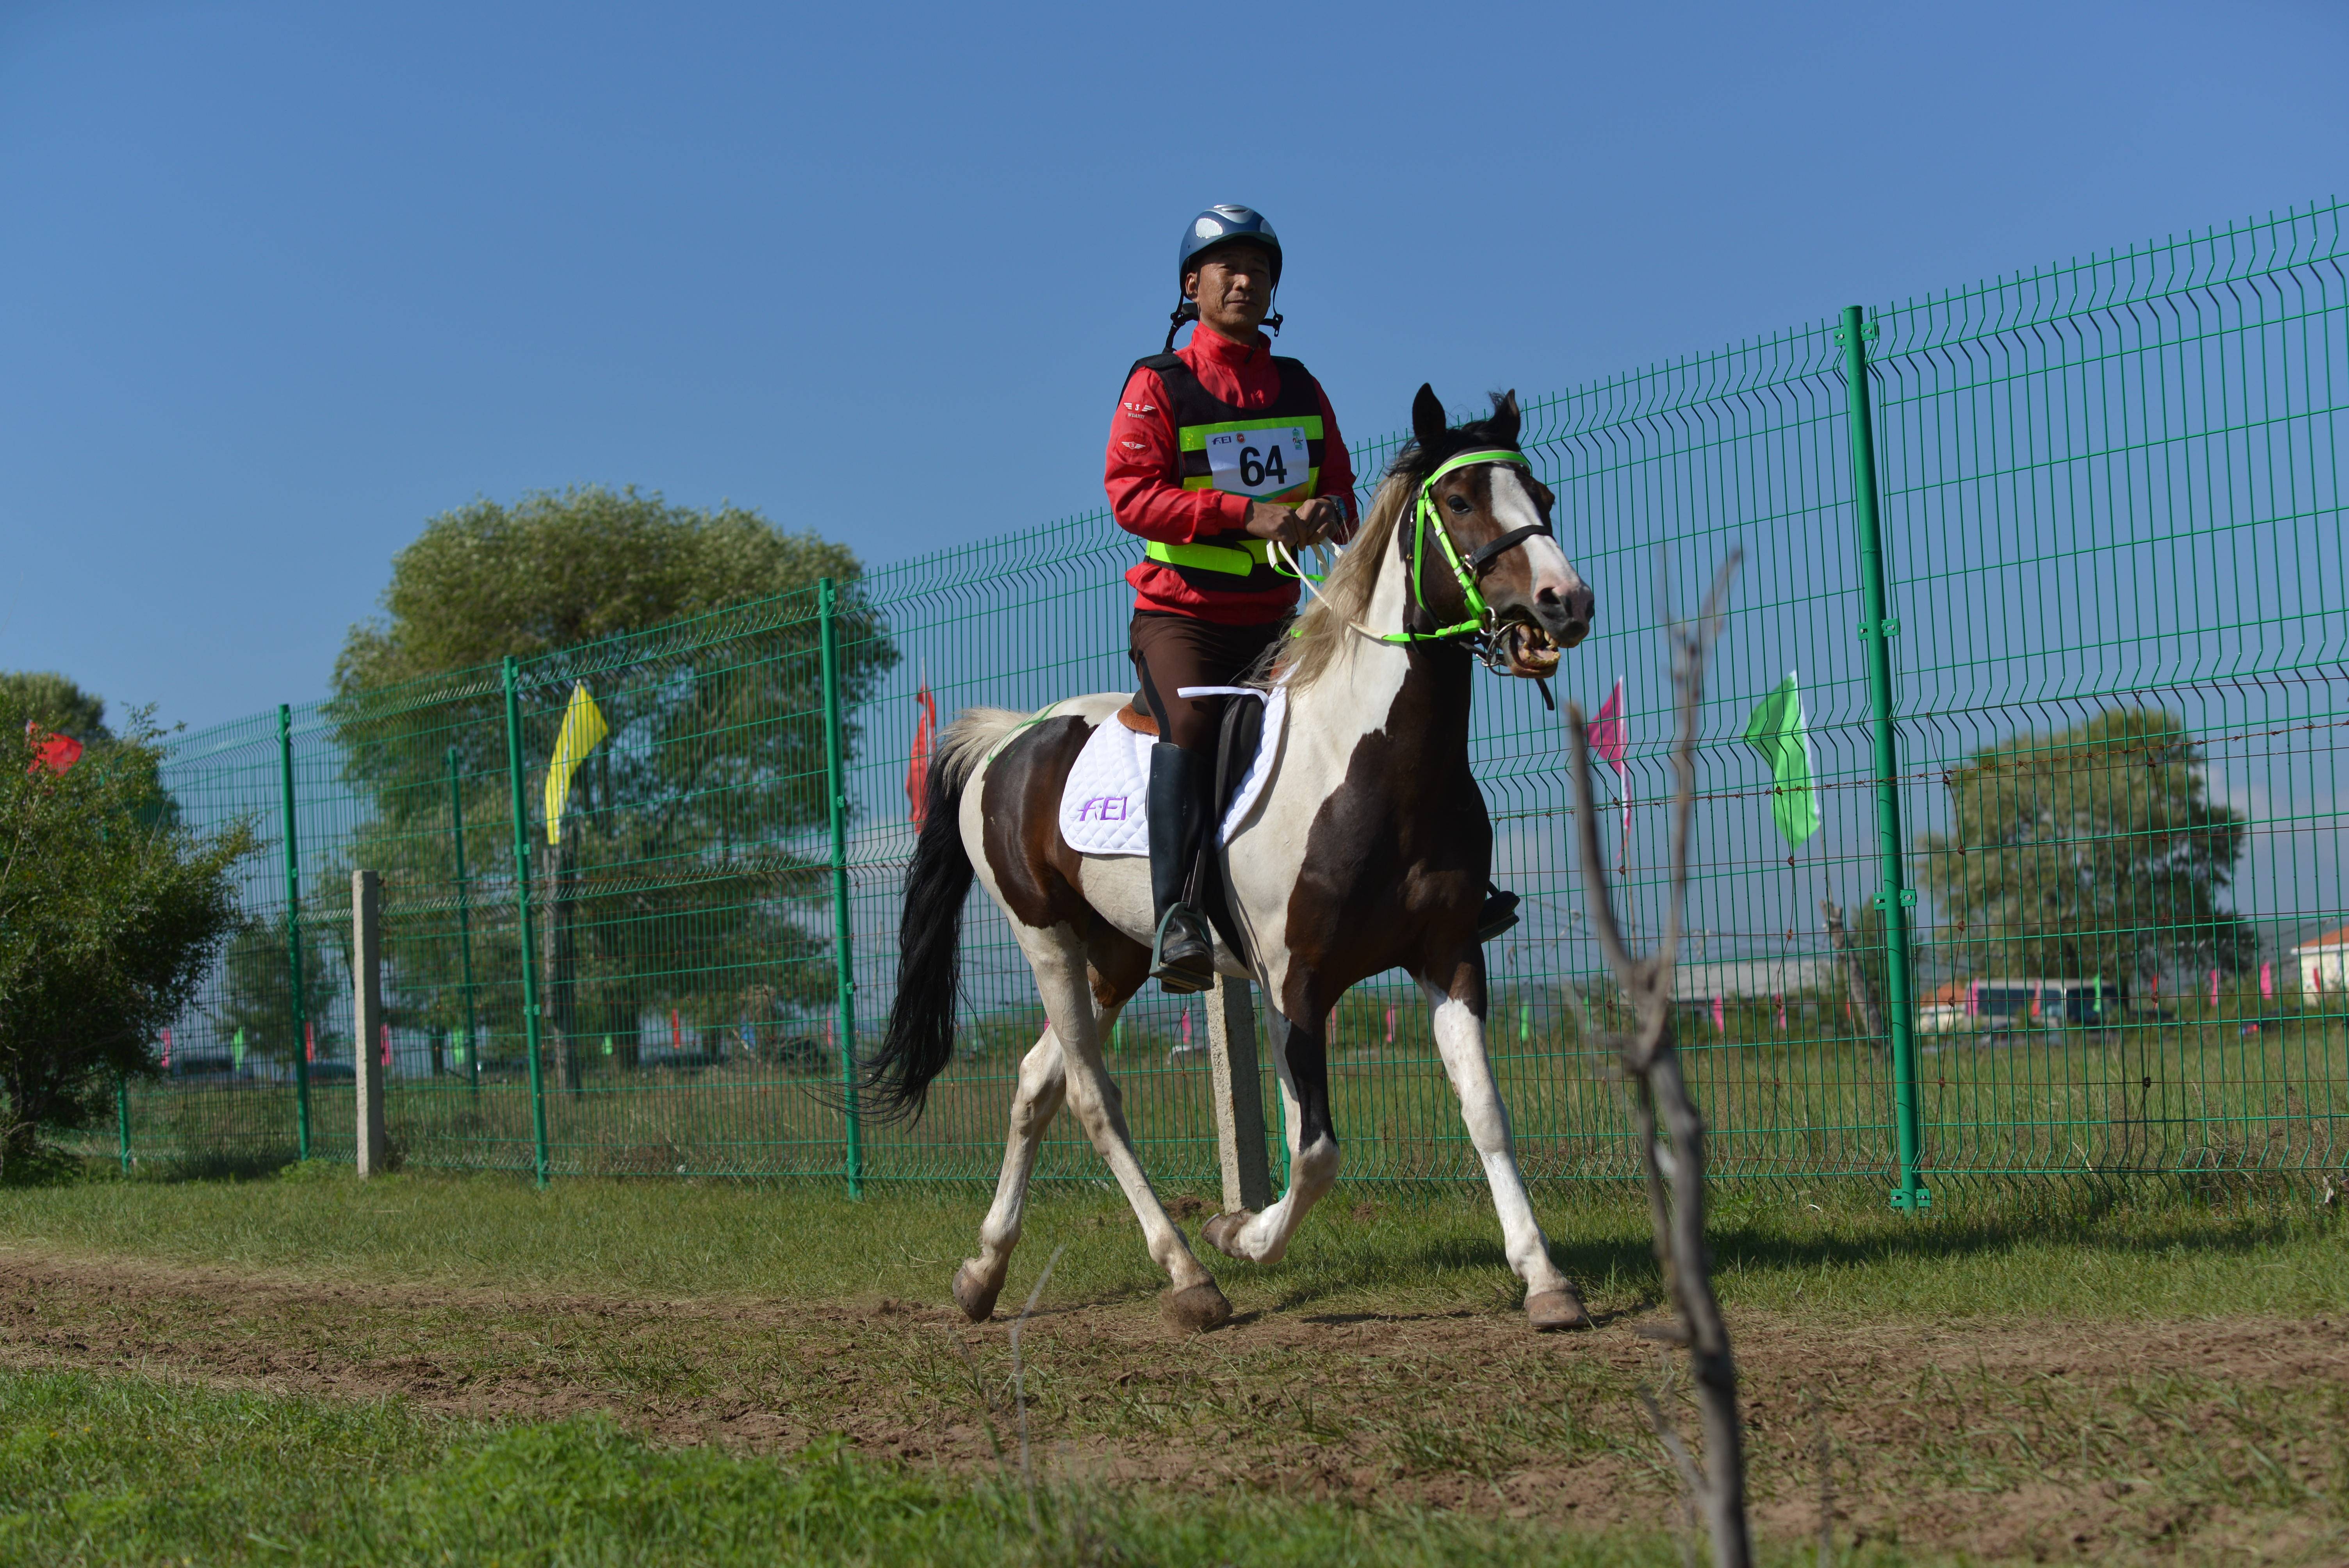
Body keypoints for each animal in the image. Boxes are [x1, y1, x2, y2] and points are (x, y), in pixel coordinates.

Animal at [864, 385, 1597, 1333]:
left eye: (1541, 496)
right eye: (1463, 500)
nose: (1562, 602)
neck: (1376, 767)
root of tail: (1007, 737)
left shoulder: (1451, 952)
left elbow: (1485, 1113)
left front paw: (1543, 1278)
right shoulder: (1296, 982)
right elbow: (1314, 1150)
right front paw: (1237, 1231)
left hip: (1116, 955)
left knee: (1036, 1081)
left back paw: (983, 1271)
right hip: (1047, 939)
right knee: (1093, 1096)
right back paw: (1187, 1276)